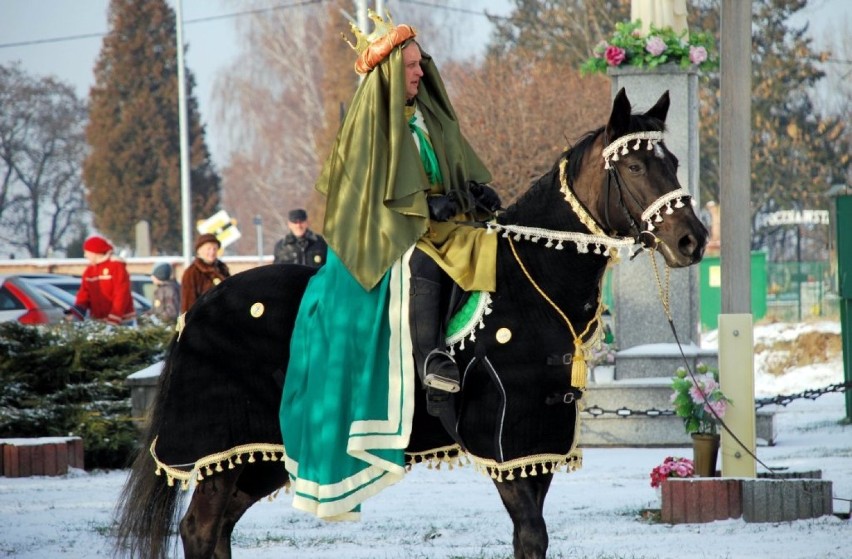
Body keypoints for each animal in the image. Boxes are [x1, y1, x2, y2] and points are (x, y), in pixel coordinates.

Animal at [115, 89, 712, 559]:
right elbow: (532, 537)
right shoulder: (507, 443)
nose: (692, 240)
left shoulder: (536, 447)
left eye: (674, 162)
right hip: (220, 452)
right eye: (634, 167)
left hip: (258, 456)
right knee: (200, 531)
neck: (533, 282)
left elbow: (531, 538)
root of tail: (198, 308)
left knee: (217, 533)